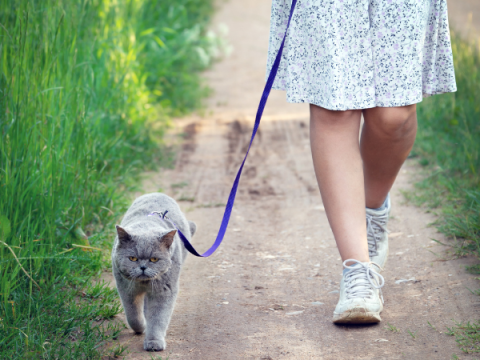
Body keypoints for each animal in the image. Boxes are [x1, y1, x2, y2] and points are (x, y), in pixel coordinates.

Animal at [111, 193, 196, 350]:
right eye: (132, 258)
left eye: (154, 259)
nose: (143, 267)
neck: (143, 284)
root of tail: (159, 193)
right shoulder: (126, 289)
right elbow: (133, 315)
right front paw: (141, 327)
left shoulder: (163, 292)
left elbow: (158, 318)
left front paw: (153, 342)